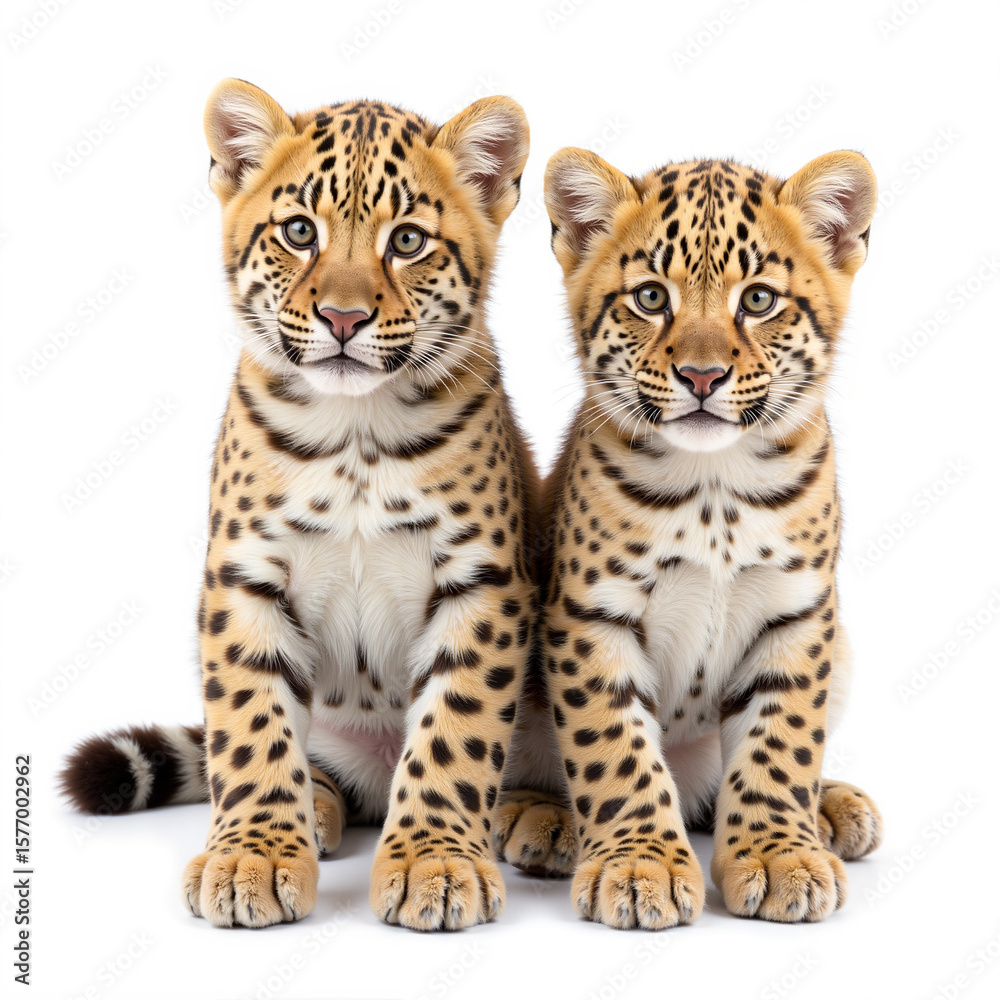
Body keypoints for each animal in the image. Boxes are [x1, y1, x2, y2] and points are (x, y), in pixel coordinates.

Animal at [59, 78, 542, 932]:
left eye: (408, 241)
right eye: (297, 232)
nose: (343, 319)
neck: (355, 433)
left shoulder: (481, 582)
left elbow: (455, 732)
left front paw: (435, 863)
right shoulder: (245, 576)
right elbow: (251, 726)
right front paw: (250, 856)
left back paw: (536, 818)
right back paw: (314, 809)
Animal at [496, 147, 885, 928]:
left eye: (758, 301)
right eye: (651, 297)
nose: (701, 375)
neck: (716, 488)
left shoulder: (799, 614)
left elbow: (781, 745)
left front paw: (780, 854)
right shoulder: (591, 615)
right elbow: (615, 749)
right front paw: (639, 866)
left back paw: (832, 808)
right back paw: (541, 820)